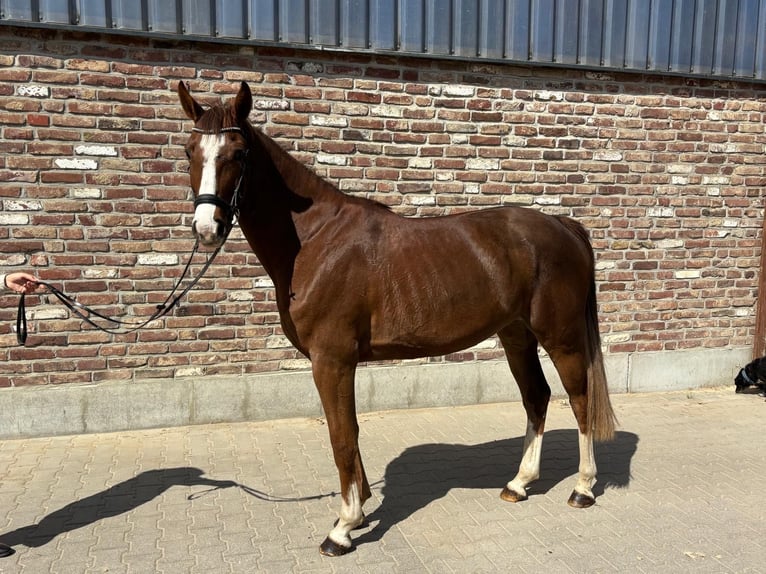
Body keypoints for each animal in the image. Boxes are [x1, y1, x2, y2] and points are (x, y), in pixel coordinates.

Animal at [177, 81, 617, 556]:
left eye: (238, 153)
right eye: (190, 150)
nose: (207, 228)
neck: (315, 241)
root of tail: (562, 225)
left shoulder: (332, 361)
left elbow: (342, 436)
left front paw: (343, 528)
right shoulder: (337, 363)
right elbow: (348, 435)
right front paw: (359, 507)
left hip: (561, 336)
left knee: (580, 399)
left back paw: (583, 488)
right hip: (516, 336)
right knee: (537, 397)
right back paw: (518, 484)